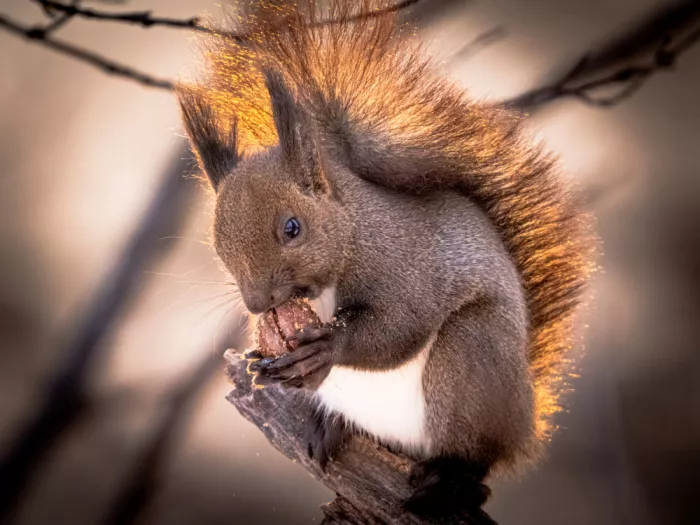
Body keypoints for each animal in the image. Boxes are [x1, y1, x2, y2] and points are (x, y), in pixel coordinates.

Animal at [176, 0, 596, 520]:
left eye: (293, 227)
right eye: (217, 244)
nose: (257, 305)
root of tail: (524, 418)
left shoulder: (402, 262)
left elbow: (401, 326)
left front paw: (326, 347)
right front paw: (258, 360)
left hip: (471, 361)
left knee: (476, 454)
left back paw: (453, 481)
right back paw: (330, 426)